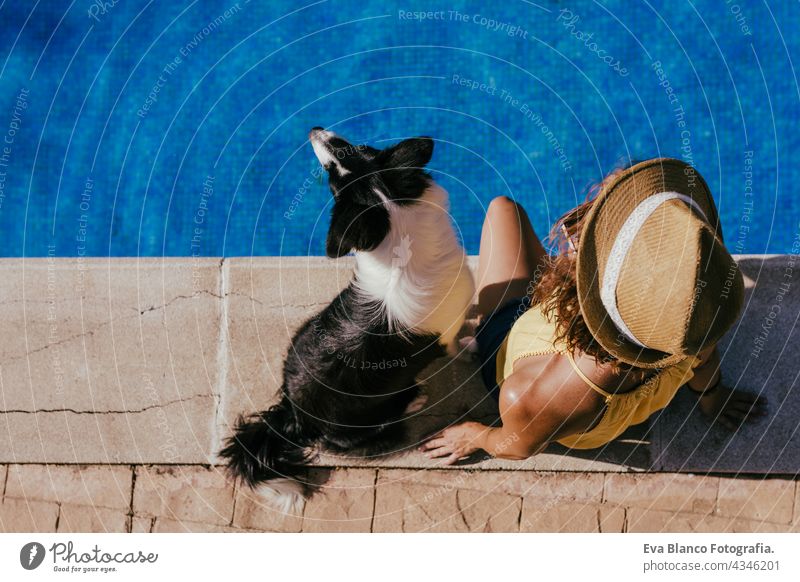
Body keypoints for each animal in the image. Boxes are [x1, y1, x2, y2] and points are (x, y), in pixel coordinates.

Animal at [219, 130, 476, 512]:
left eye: (359, 149)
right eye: (332, 179)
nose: (315, 129)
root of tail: (294, 417)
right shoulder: (450, 329)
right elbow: (459, 341)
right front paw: (472, 345)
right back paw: (414, 399)